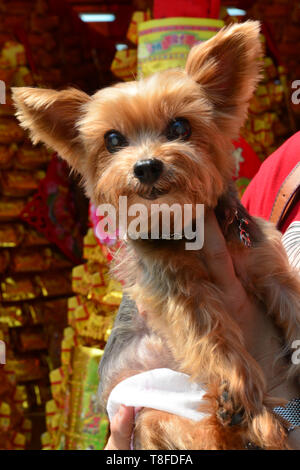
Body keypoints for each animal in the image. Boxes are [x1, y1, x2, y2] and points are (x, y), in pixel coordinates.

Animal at [12, 21, 300, 448]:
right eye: (113, 139)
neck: (186, 223)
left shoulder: (262, 261)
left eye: (180, 127)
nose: (147, 166)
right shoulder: (174, 288)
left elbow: (292, 300)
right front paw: (235, 383)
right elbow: (210, 330)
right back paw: (256, 419)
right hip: (152, 415)